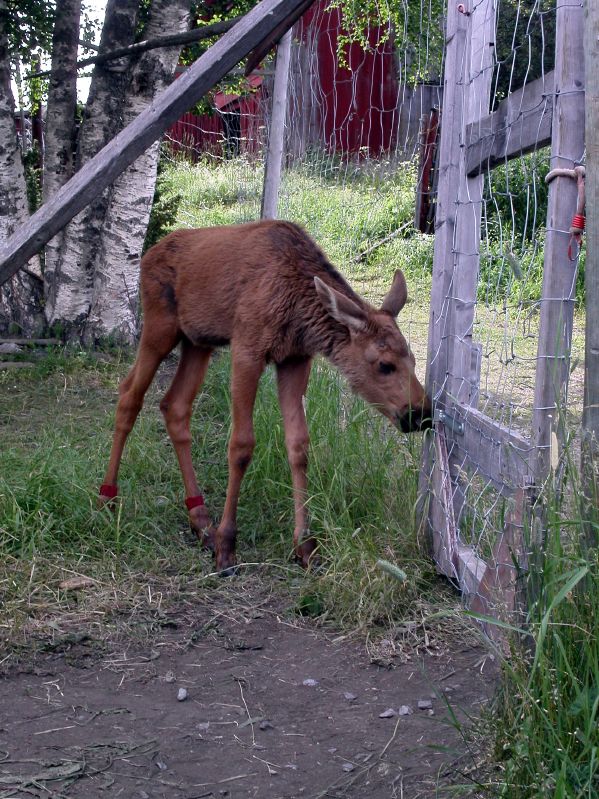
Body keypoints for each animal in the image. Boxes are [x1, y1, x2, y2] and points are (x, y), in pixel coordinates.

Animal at [102, 222, 432, 572]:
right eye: (385, 365)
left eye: (414, 359)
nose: (421, 413)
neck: (300, 313)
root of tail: (148, 255)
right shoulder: (247, 347)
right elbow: (241, 445)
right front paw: (227, 543)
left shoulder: (295, 359)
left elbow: (299, 446)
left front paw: (304, 544)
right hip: (160, 327)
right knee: (129, 395)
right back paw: (107, 497)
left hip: (198, 341)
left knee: (174, 405)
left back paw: (201, 520)